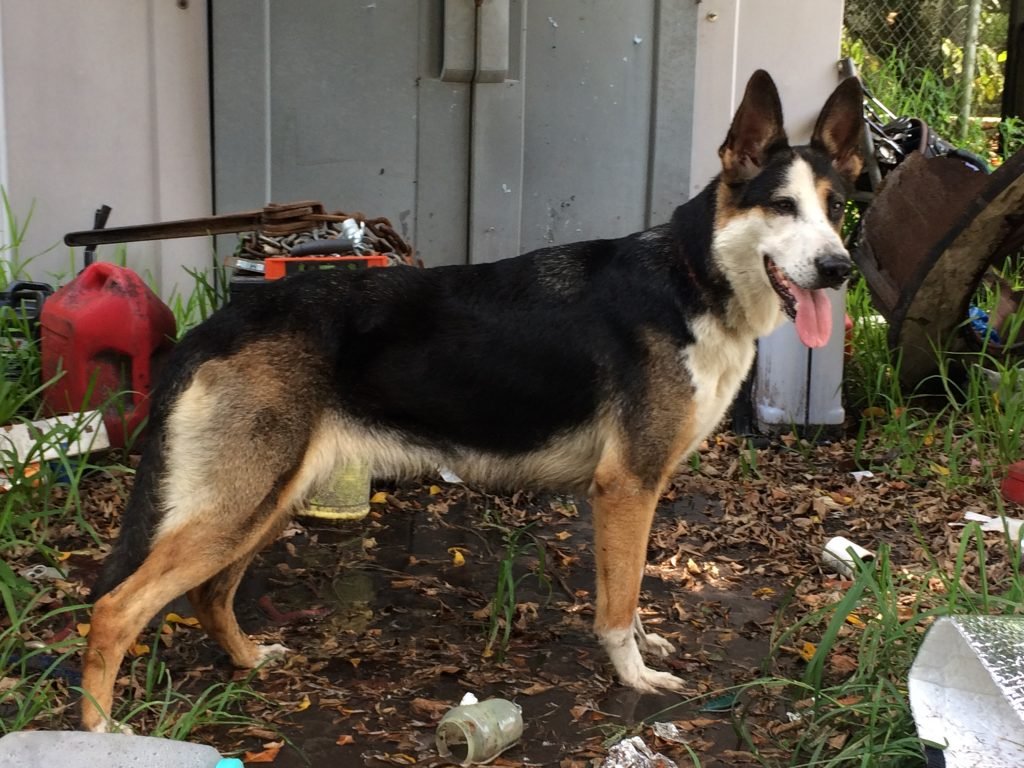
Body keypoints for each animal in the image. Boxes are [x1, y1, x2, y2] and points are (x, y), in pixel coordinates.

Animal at [81, 69, 864, 729]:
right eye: (783, 206)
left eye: (835, 211)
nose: (840, 269)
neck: (693, 278)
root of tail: (219, 321)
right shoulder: (626, 488)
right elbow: (618, 604)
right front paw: (634, 676)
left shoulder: (631, 496)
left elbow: (630, 585)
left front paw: (644, 647)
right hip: (239, 506)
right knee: (116, 610)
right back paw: (101, 732)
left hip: (264, 501)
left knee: (209, 595)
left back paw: (247, 661)